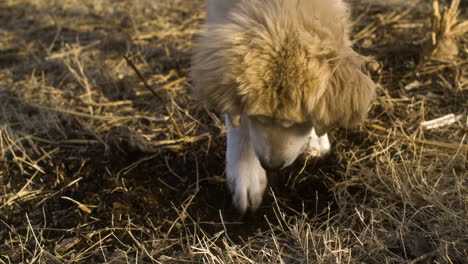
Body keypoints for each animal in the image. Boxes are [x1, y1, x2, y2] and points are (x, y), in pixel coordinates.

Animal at [190, 0, 376, 213]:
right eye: (258, 117)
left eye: (295, 122)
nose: (271, 165)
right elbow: (239, 119)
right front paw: (245, 174)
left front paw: (317, 138)